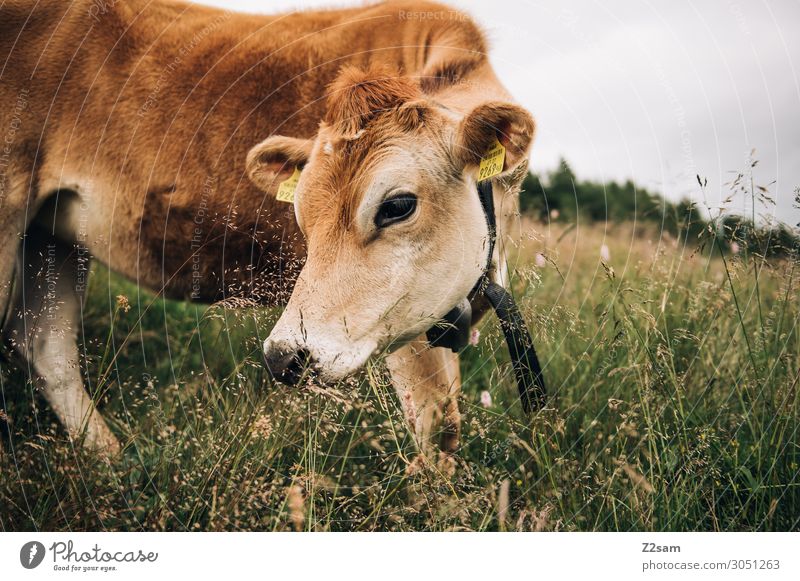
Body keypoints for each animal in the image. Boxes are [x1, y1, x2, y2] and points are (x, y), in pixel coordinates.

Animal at [1, 0, 536, 472]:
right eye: (300, 214)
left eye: (398, 205)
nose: (283, 357)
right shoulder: (405, 323)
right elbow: (436, 427)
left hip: (52, 236)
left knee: (46, 347)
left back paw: (112, 463)